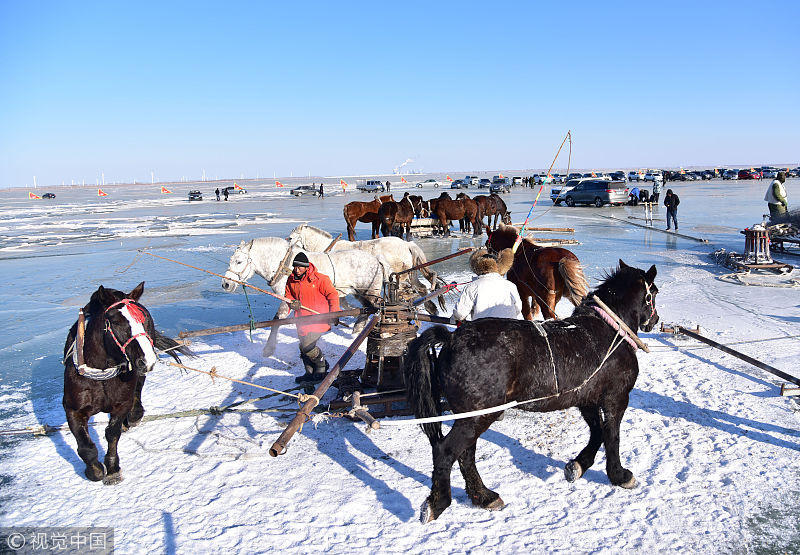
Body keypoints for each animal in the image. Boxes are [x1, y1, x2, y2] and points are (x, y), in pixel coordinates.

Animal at [63, 284, 189, 484]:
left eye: (144, 319)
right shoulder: (73, 409)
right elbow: (85, 446)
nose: (148, 359)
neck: (102, 377)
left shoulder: (122, 403)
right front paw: (95, 470)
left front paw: (112, 468)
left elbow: (112, 433)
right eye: (116, 322)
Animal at [222, 238, 388, 356]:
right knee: (365, 309)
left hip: (369, 291)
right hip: (359, 292)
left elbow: (277, 320)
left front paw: (269, 348)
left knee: (375, 307)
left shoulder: (286, 299)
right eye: (231, 260)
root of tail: (377, 260)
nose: (226, 284)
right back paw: (357, 329)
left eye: (239, 261)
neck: (286, 266)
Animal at [286, 225, 444, 312]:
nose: (288, 250)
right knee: (422, 288)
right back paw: (431, 308)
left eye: (290, 238)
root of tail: (407, 244)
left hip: (401, 277)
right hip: (411, 274)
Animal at [404, 260, 660, 520]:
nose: (655, 319)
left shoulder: (586, 399)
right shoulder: (616, 398)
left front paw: (577, 465)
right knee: (446, 451)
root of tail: (451, 339)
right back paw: (438, 502)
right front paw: (619, 474)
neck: (609, 330)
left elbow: (597, 433)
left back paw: (483, 496)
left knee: (466, 454)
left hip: (472, 417)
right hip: (476, 417)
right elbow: (612, 436)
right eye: (654, 294)